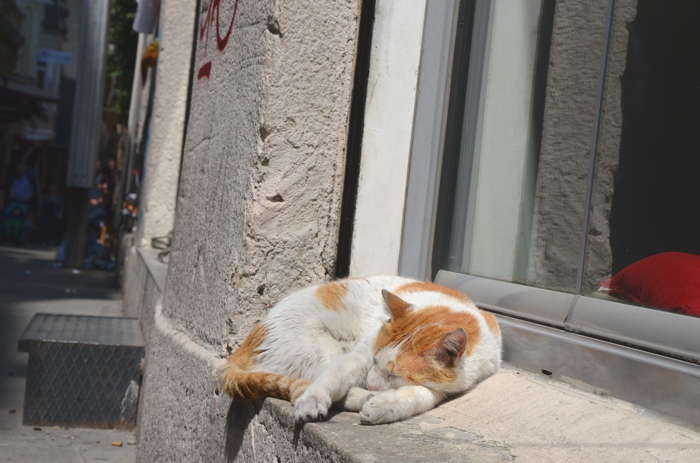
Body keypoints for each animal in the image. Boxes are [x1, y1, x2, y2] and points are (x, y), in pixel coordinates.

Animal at [221, 278, 500, 426]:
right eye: (375, 360)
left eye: (395, 375)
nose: (372, 384)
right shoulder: (360, 355)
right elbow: (330, 379)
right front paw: (314, 401)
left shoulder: (451, 384)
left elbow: (422, 394)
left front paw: (385, 406)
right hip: (321, 349)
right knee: (313, 383)